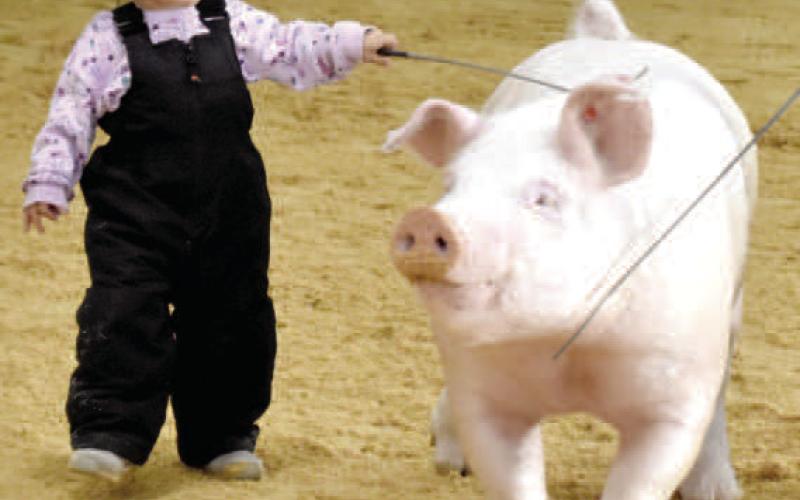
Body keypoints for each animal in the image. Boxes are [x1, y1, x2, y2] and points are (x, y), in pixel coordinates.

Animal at [383, 1, 756, 499]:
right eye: (451, 185)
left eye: (544, 198)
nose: (427, 220)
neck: (567, 352)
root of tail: (613, 38)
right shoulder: (484, 392)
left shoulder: (673, 394)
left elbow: (647, 472)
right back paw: (449, 465)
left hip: (732, 303)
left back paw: (718, 490)